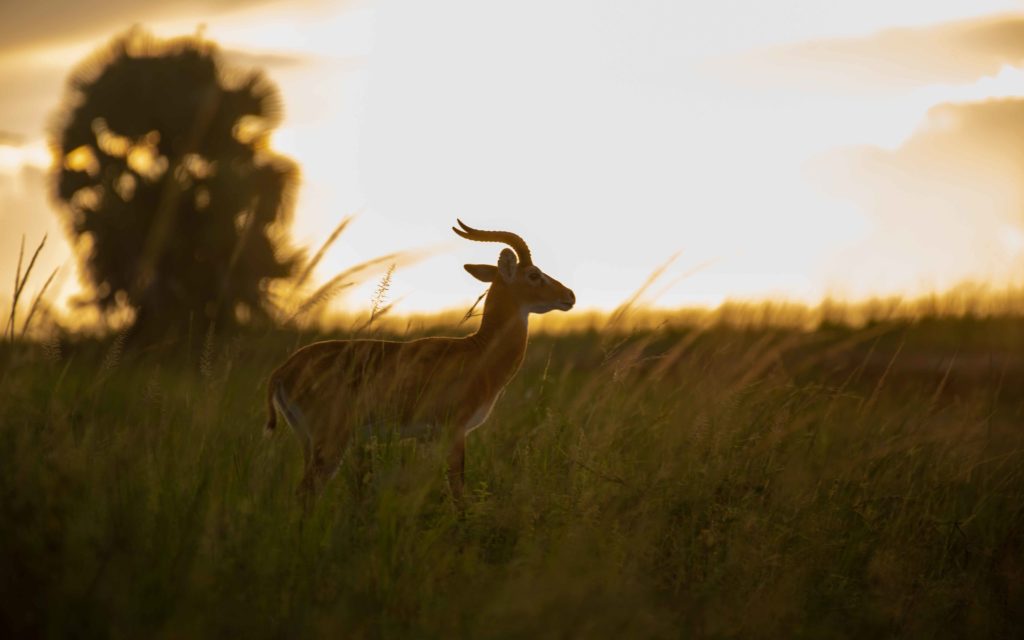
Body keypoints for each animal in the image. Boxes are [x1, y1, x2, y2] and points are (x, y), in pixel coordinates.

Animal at [266, 222, 577, 505]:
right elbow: (458, 492)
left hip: (309, 441)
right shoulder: (455, 431)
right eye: (534, 274)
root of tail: (282, 370)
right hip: (331, 442)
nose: (569, 296)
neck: (478, 351)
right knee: (306, 493)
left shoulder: (427, 438)